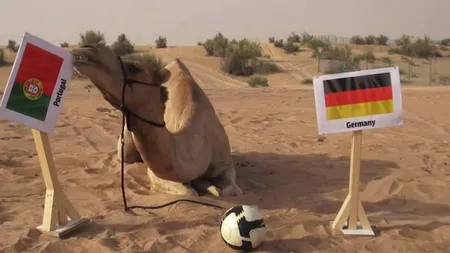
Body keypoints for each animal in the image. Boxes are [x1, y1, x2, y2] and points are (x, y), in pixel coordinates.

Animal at [71, 45, 243, 197]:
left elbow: (231, 190)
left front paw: (209, 186)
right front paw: (203, 186)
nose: (86, 49)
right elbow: (189, 192)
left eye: (133, 67)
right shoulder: (155, 173)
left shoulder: (225, 163)